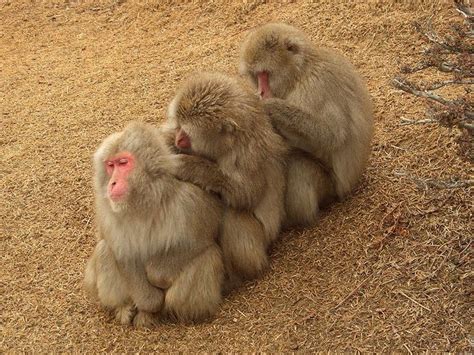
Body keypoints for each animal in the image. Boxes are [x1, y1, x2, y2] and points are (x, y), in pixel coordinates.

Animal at [84, 122, 224, 328]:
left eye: (123, 163)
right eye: (110, 165)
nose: (112, 183)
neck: (145, 199)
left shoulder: (189, 200)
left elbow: (201, 239)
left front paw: (156, 278)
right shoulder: (106, 210)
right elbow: (123, 253)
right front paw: (149, 304)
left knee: (208, 255)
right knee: (104, 249)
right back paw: (124, 307)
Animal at [159, 71, 286, 290]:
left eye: (187, 134)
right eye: (179, 127)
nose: (178, 139)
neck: (226, 146)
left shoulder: (247, 154)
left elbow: (246, 195)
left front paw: (190, 166)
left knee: (233, 214)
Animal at [239, 23, 372, 228]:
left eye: (265, 74)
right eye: (256, 76)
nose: (260, 91)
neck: (300, 72)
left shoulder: (316, 85)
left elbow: (331, 135)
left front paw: (272, 107)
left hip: (330, 189)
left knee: (299, 166)